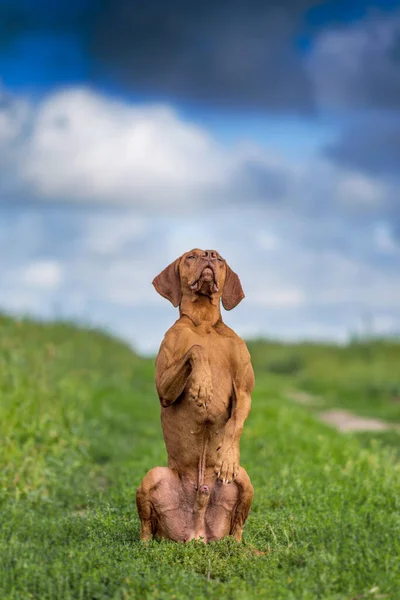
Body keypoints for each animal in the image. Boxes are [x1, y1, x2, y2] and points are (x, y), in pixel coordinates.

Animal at [136, 248, 255, 544]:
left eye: (220, 259)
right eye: (191, 256)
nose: (210, 255)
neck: (203, 323)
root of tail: (197, 533)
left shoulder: (245, 390)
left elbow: (235, 424)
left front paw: (227, 456)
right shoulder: (163, 390)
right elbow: (197, 349)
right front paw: (202, 383)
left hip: (245, 480)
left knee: (237, 528)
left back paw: (238, 546)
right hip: (153, 476)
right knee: (146, 527)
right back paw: (143, 545)